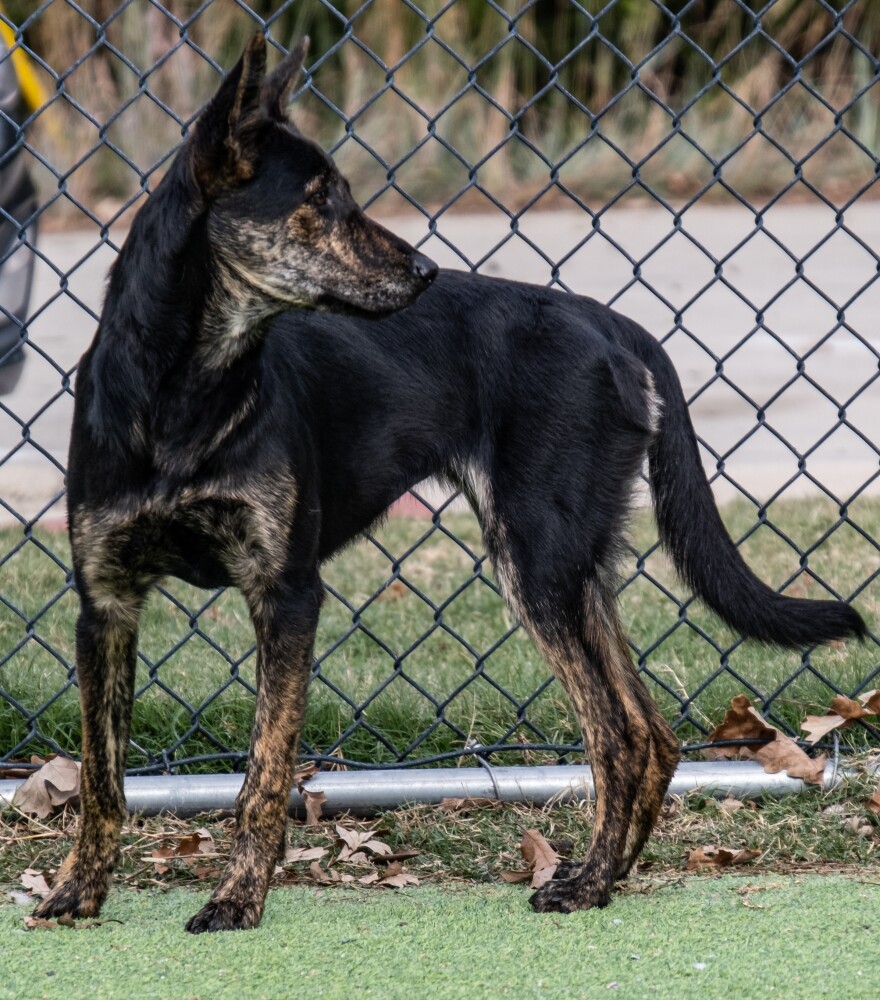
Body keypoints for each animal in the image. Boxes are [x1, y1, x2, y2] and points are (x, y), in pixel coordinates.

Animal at [31, 33, 864, 936]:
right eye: (319, 200)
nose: (428, 270)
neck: (186, 394)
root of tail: (610, 321)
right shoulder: (105, 603)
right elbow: (102, 776)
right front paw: (77, 890)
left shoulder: (285, 594)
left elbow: (262, 774)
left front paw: (237, 897)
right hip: (571, 567)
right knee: (652, 732)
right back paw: (608, 875)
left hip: (536, 560)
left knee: (619, 734)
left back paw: (584, 883)